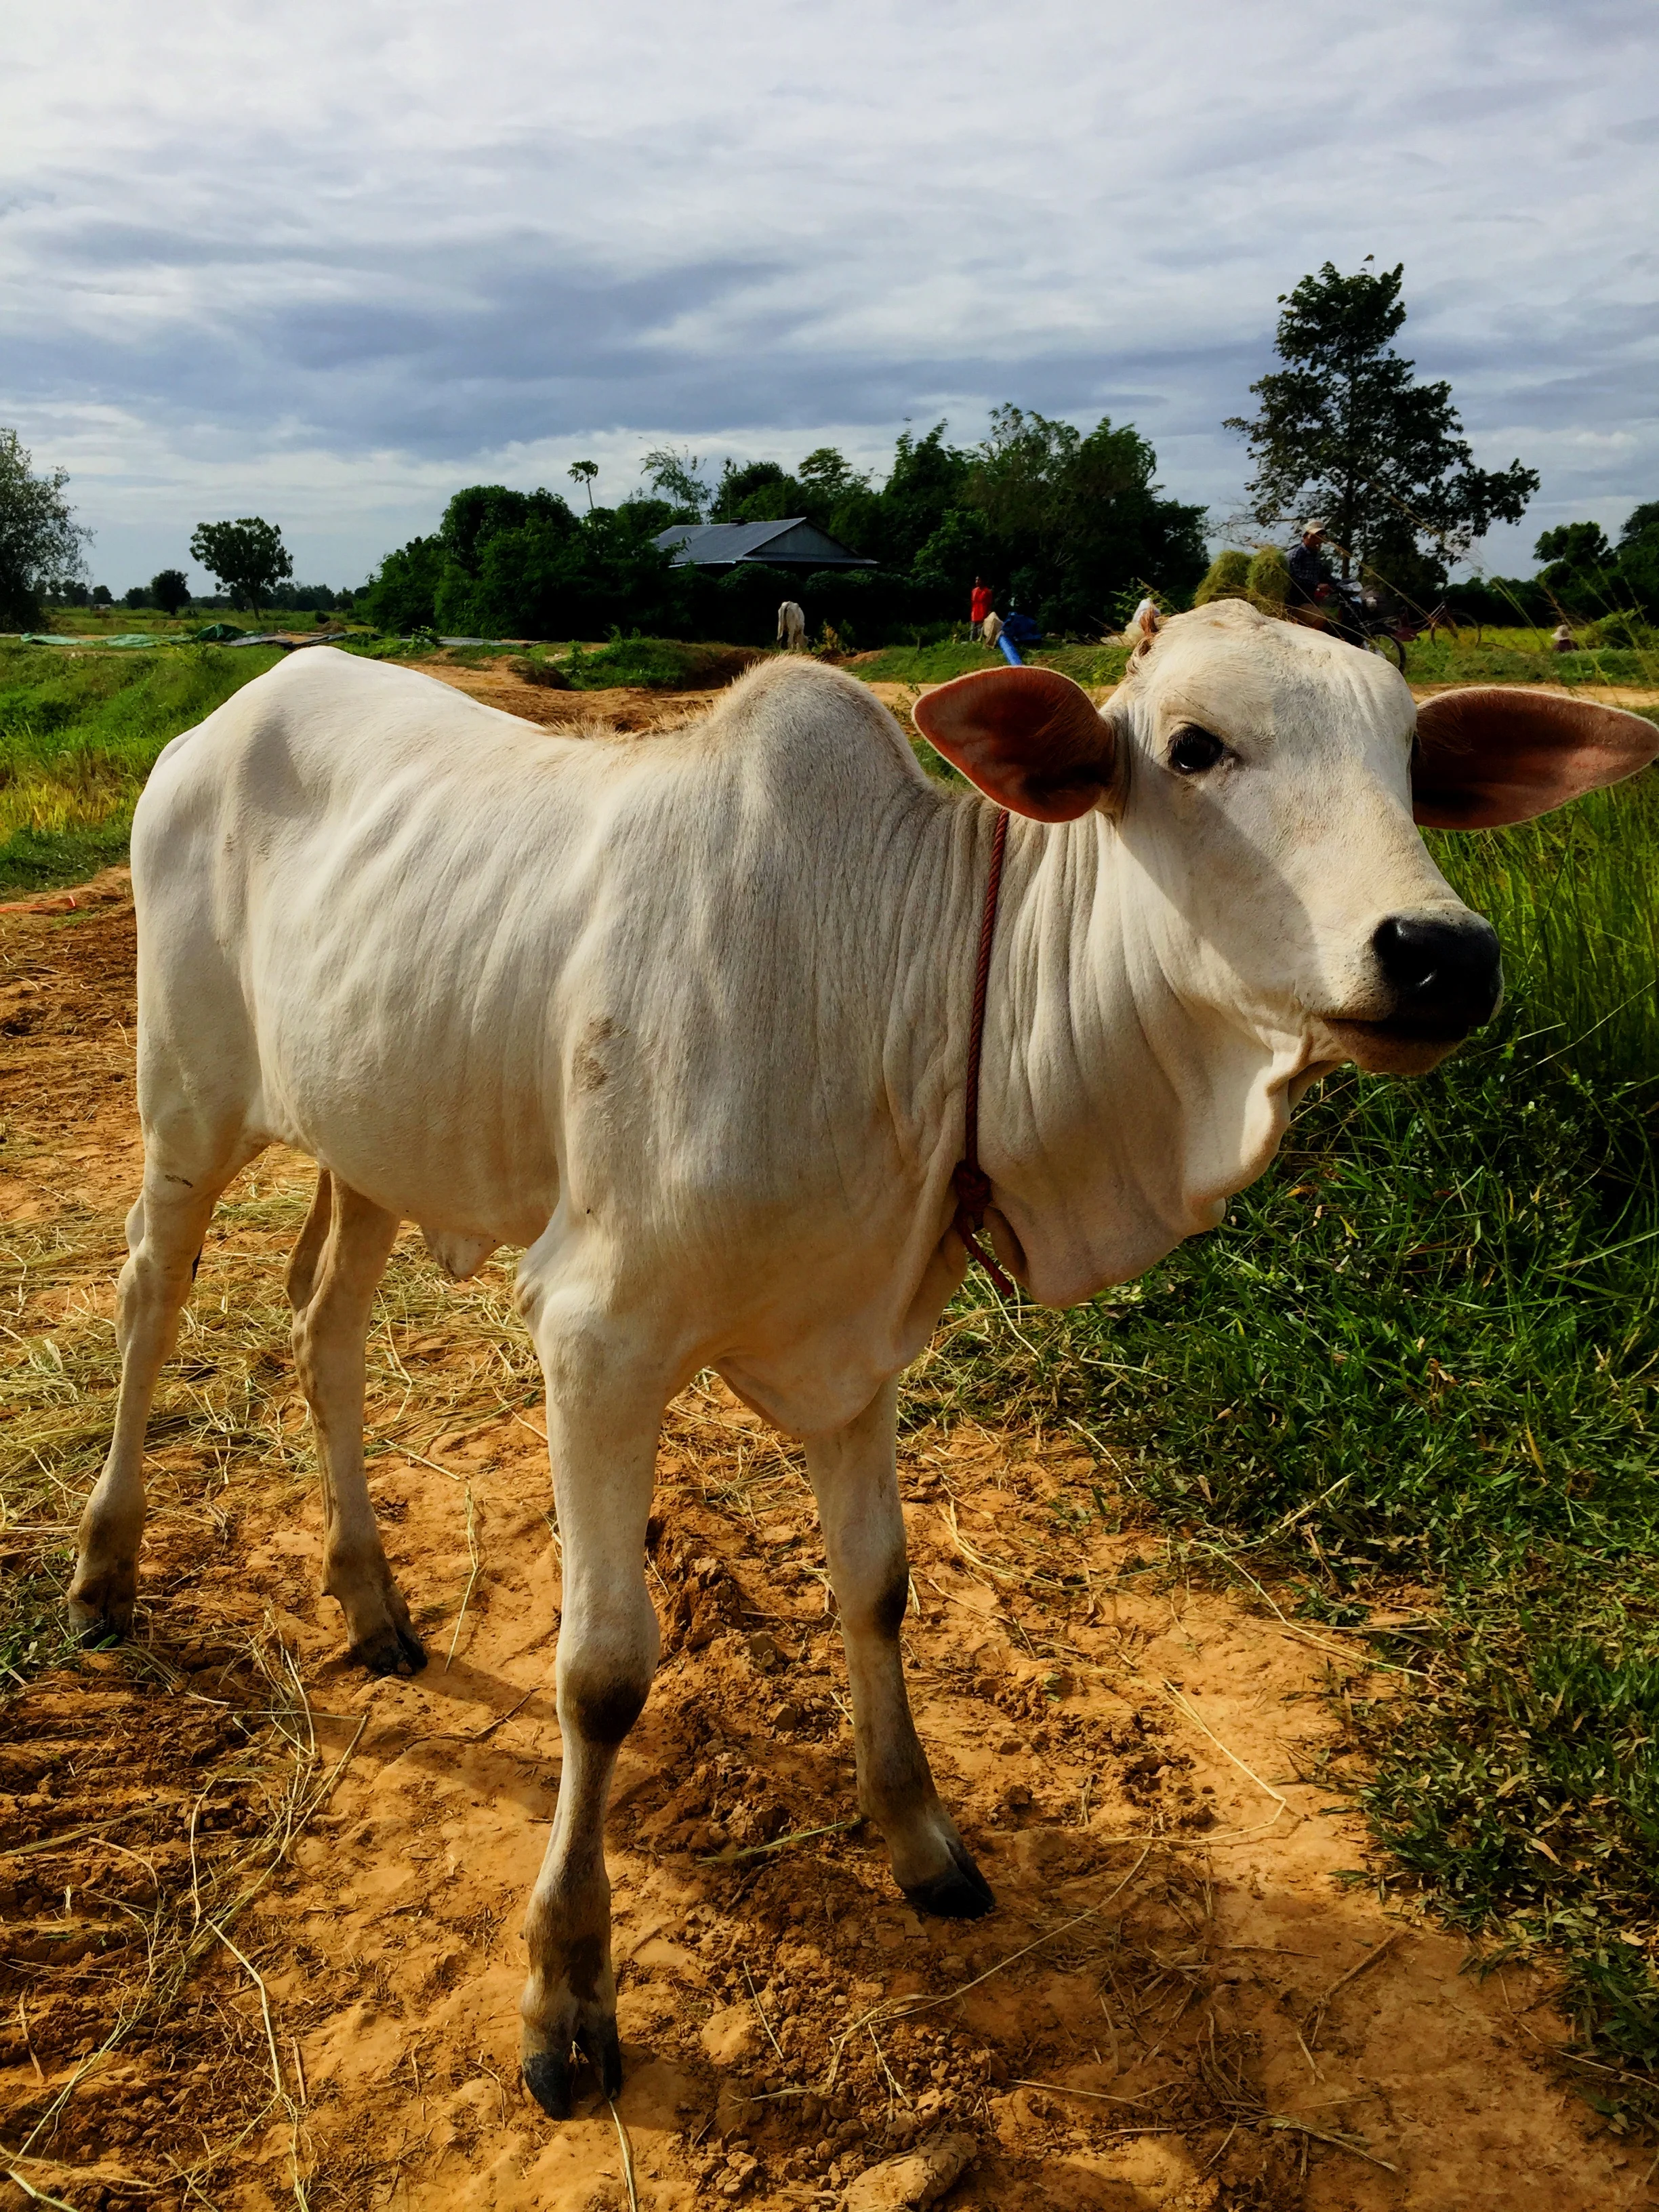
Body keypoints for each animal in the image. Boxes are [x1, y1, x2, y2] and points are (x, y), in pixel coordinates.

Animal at [68, 601, 1659, 2106]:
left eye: (1408, 759)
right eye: (1195, 746)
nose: (1441, 954)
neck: (891, 982)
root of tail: (237, 709)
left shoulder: (864, 1347)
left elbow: (877, 1588)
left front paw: (921, 1836)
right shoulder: (595, 1334)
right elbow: (603, 1668)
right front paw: (567, 1988)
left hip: (376, 1143)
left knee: (326, 1334)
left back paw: (372, 1601)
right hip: (186, 1103)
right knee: (153, 1295)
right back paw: (105, 1574)